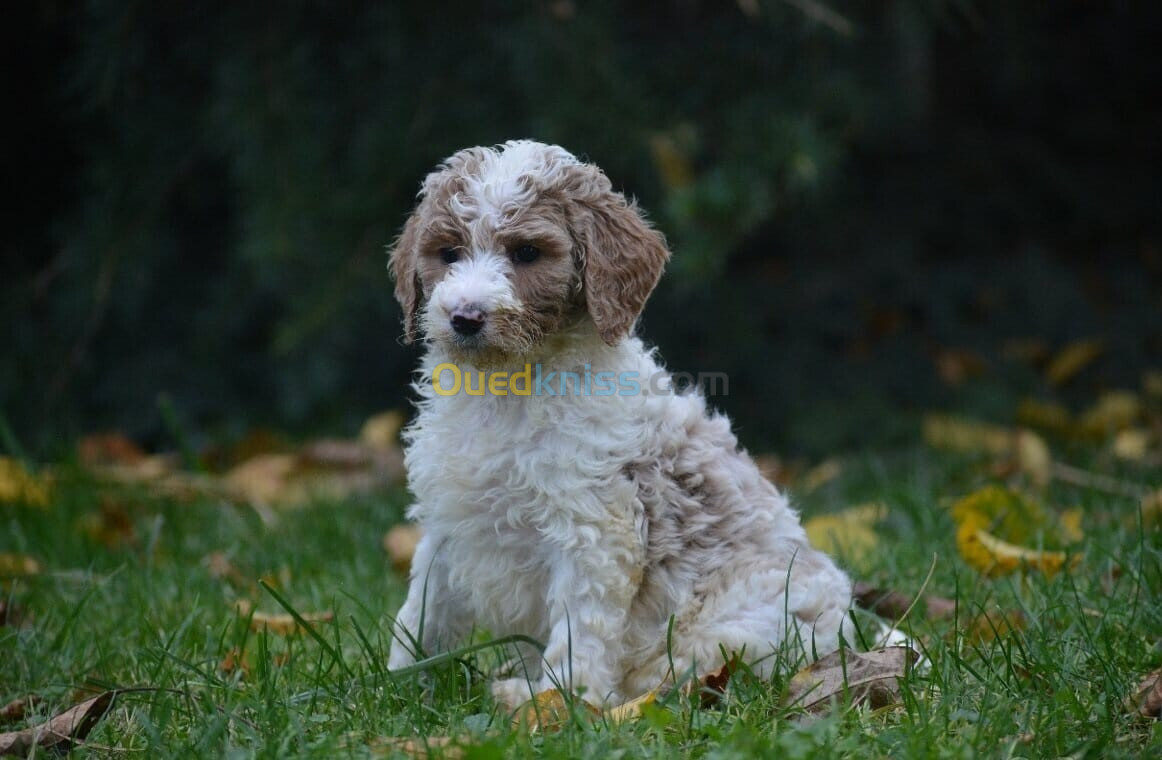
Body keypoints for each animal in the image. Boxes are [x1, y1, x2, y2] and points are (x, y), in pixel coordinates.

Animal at [385, 138, 850, 706]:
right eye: (448, 253)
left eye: (526, 253)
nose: (465, 317)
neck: (508, 386)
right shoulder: (448, 524)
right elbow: (422, 614)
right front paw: (394, 691)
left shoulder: (591, 532)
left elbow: (578, 630)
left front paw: (558, 706)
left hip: (739, 627)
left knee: (678, 677)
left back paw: (521, 693)